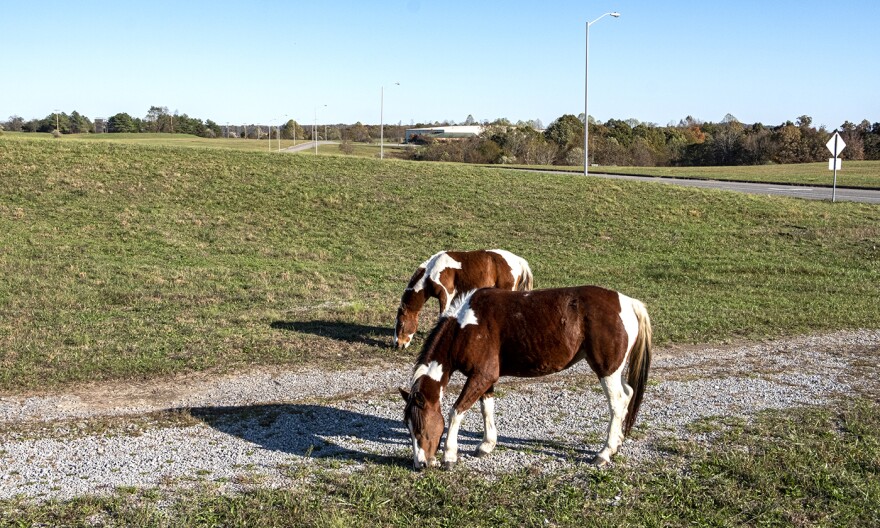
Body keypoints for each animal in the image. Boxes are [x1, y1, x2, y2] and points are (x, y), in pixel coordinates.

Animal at [399, 285, 652, 470]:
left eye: (420, 427)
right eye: (407, 427)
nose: (420, 464)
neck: (465, 326)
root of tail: (627, 302)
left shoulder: (481, 376)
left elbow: (456, 412)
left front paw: (449, 456)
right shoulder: (485, 378)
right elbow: (486, 409)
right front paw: (487, 445)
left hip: (606, 370)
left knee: (617, 403)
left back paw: (605, 452)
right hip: (613, 370)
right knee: (628, 394)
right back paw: (617, 442)